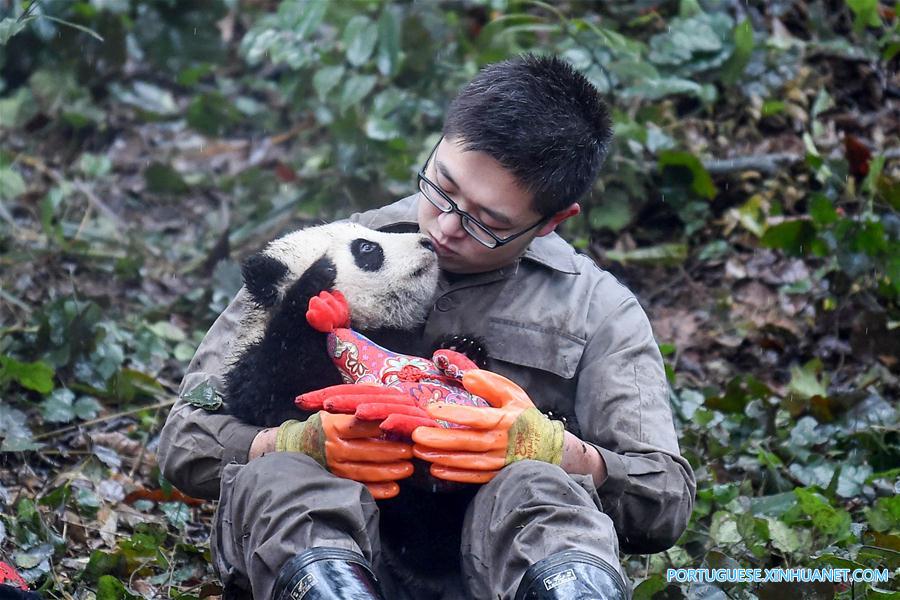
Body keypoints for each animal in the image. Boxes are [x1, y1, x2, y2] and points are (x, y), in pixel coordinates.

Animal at [223, 221, 484, 592]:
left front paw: (463, 349)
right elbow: (275, 393)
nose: (427, 242)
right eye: (367, 248)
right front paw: (314, 284)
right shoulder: (259, 373)